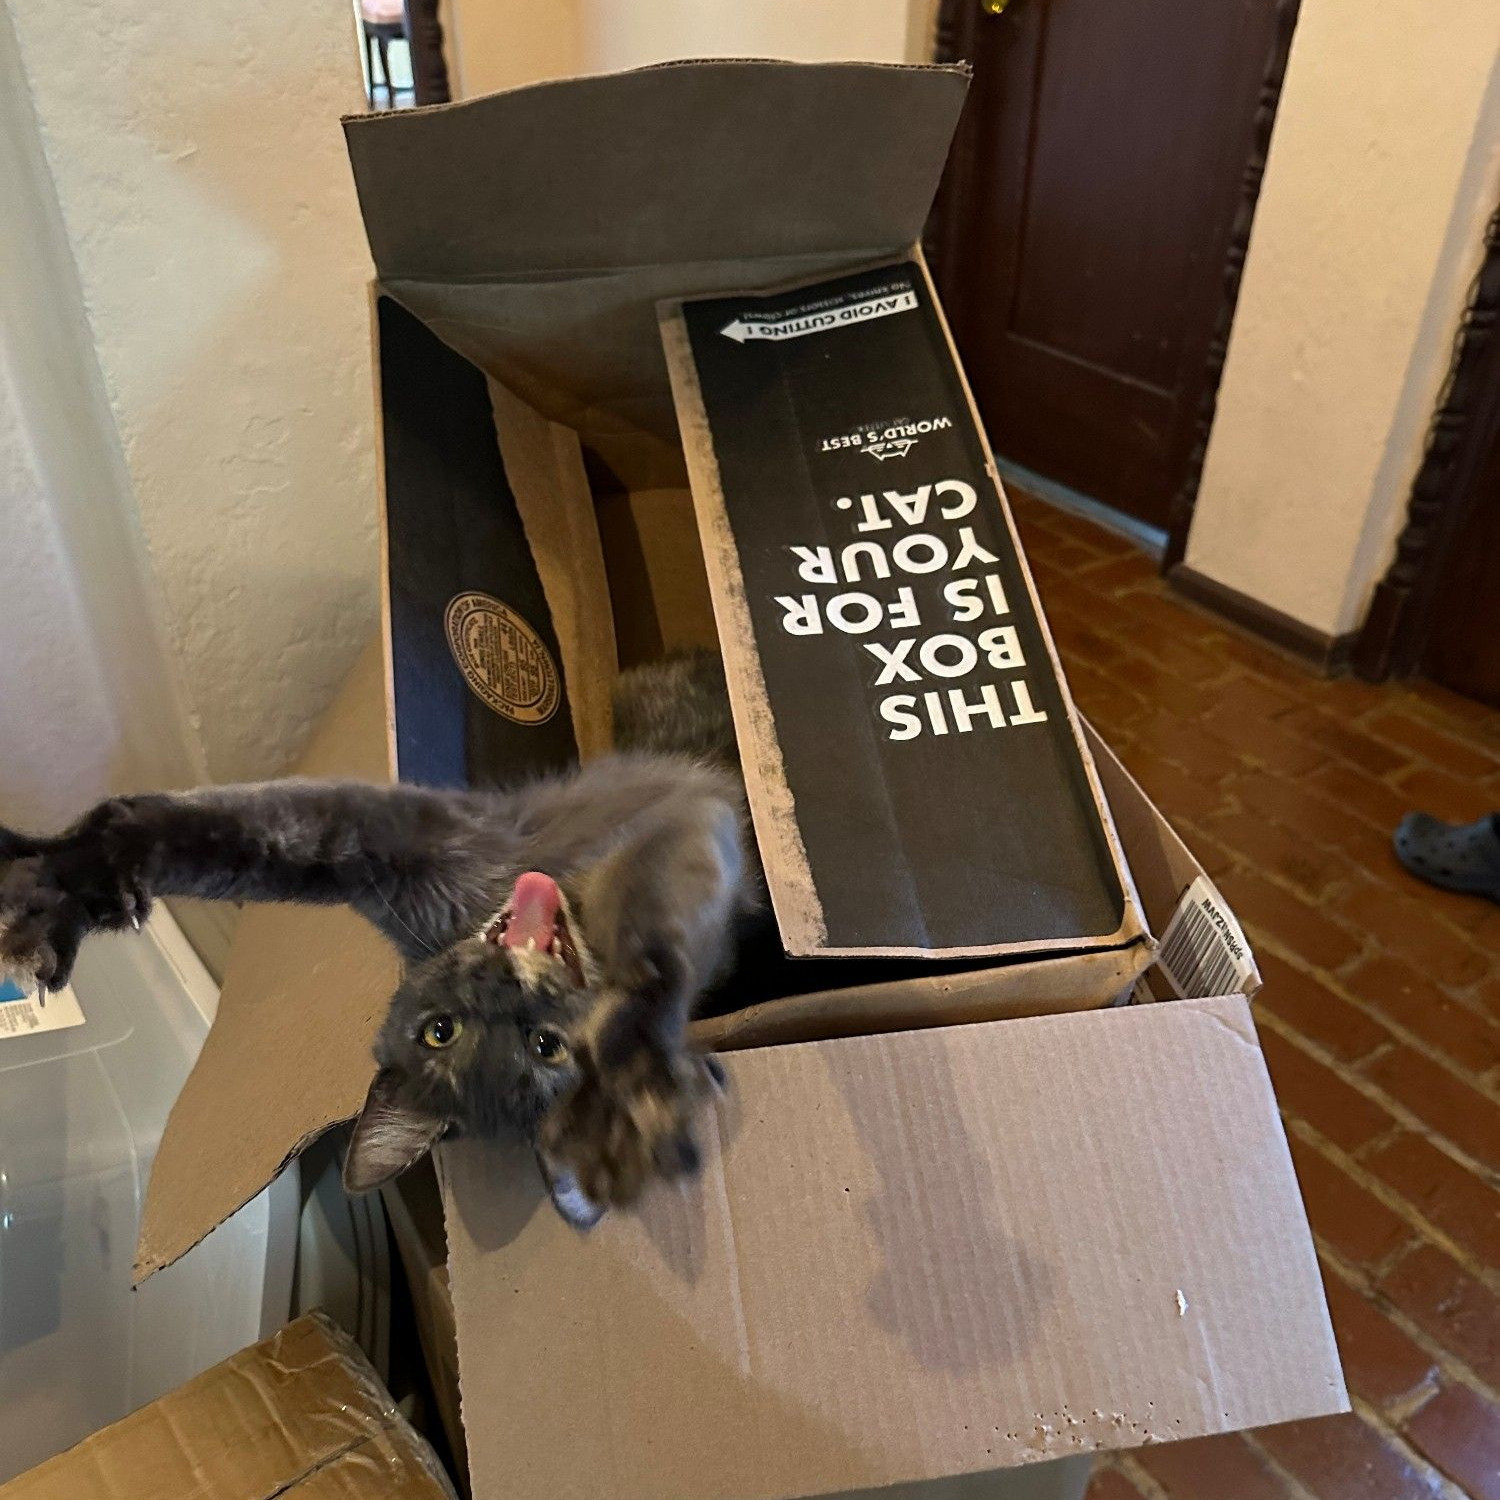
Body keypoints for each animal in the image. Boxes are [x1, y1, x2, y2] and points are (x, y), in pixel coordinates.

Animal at [0, 651, 750, 1224]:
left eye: (546, 1045)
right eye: (441, 1031)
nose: (505, 987)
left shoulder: (686, 835)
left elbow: (656, 934)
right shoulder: (386, 851)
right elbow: (228, 842)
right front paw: (62, 893)